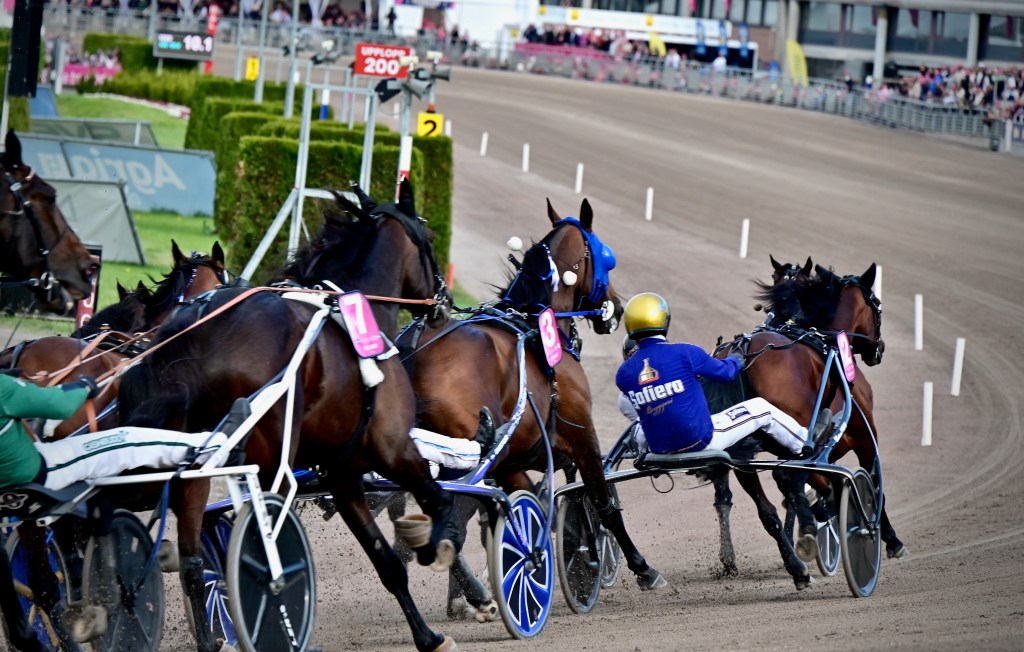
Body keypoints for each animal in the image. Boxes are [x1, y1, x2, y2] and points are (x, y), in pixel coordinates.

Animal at [115, 180, 463, 652]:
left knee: (190, 562)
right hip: (270, 460)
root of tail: (200, 331)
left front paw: (427, 635)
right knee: (265, 544)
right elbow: (437, 498)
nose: (444, 303)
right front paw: (432, 546)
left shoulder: (342, 472)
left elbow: (386, 562)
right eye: (428, 238)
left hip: (199, 466)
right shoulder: (392, 448)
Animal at [396, 198, 665, 618]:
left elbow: (535, 507)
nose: (618, 308)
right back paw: (476, 593)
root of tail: (411, 351)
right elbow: (600, 501)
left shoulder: (513, 462)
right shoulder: (581, 435)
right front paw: (637, 567)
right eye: (605, 256)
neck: (536, 326)